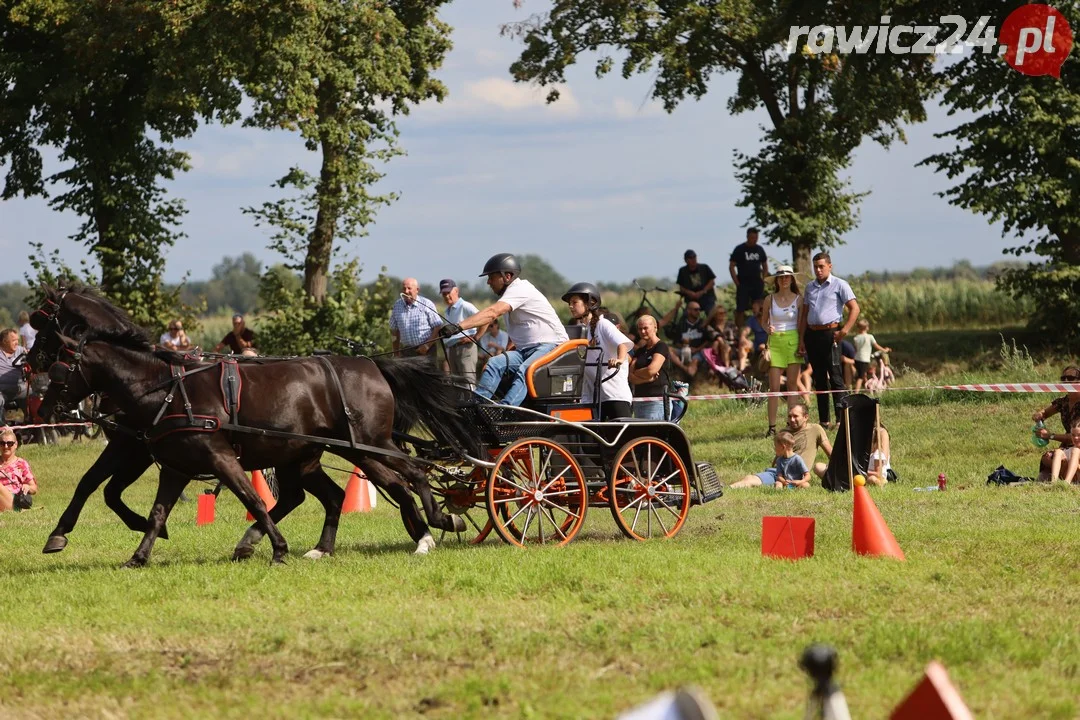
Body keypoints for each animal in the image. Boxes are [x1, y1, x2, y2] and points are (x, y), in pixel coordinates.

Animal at [45, 325, 477, 569]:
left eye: (57, 368)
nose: (50, 406)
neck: (168, 391)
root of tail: (371, 364)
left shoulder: (218, 457)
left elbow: (253, 499)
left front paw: (279, 550)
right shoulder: (175, 467)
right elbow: (155, 513)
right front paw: (137, 557)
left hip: (369, 444)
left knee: (411, 473)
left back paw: (435, 524)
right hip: (324, 454)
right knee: (341, 494)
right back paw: (327, 548)